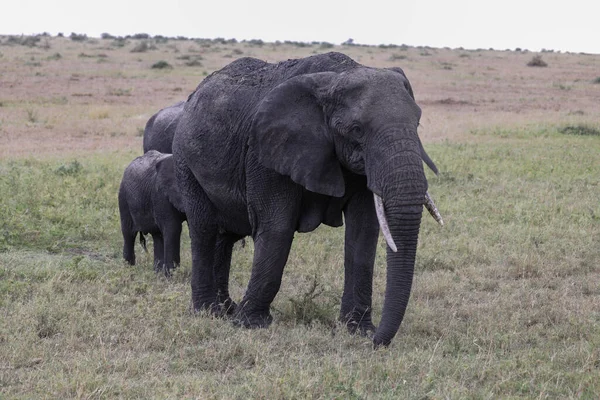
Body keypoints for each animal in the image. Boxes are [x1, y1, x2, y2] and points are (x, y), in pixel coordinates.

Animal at [171, 52, 442, 346]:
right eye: (357, 129)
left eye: (417, 123)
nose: (375, 342)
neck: (336, 78)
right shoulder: (265, 152)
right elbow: (277, 228)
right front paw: (250, 325)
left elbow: (363, 233)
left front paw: (357, 329)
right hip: (185, 160)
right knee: (204, 230)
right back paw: (208, 312)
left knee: (225, 236)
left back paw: (226, 308)